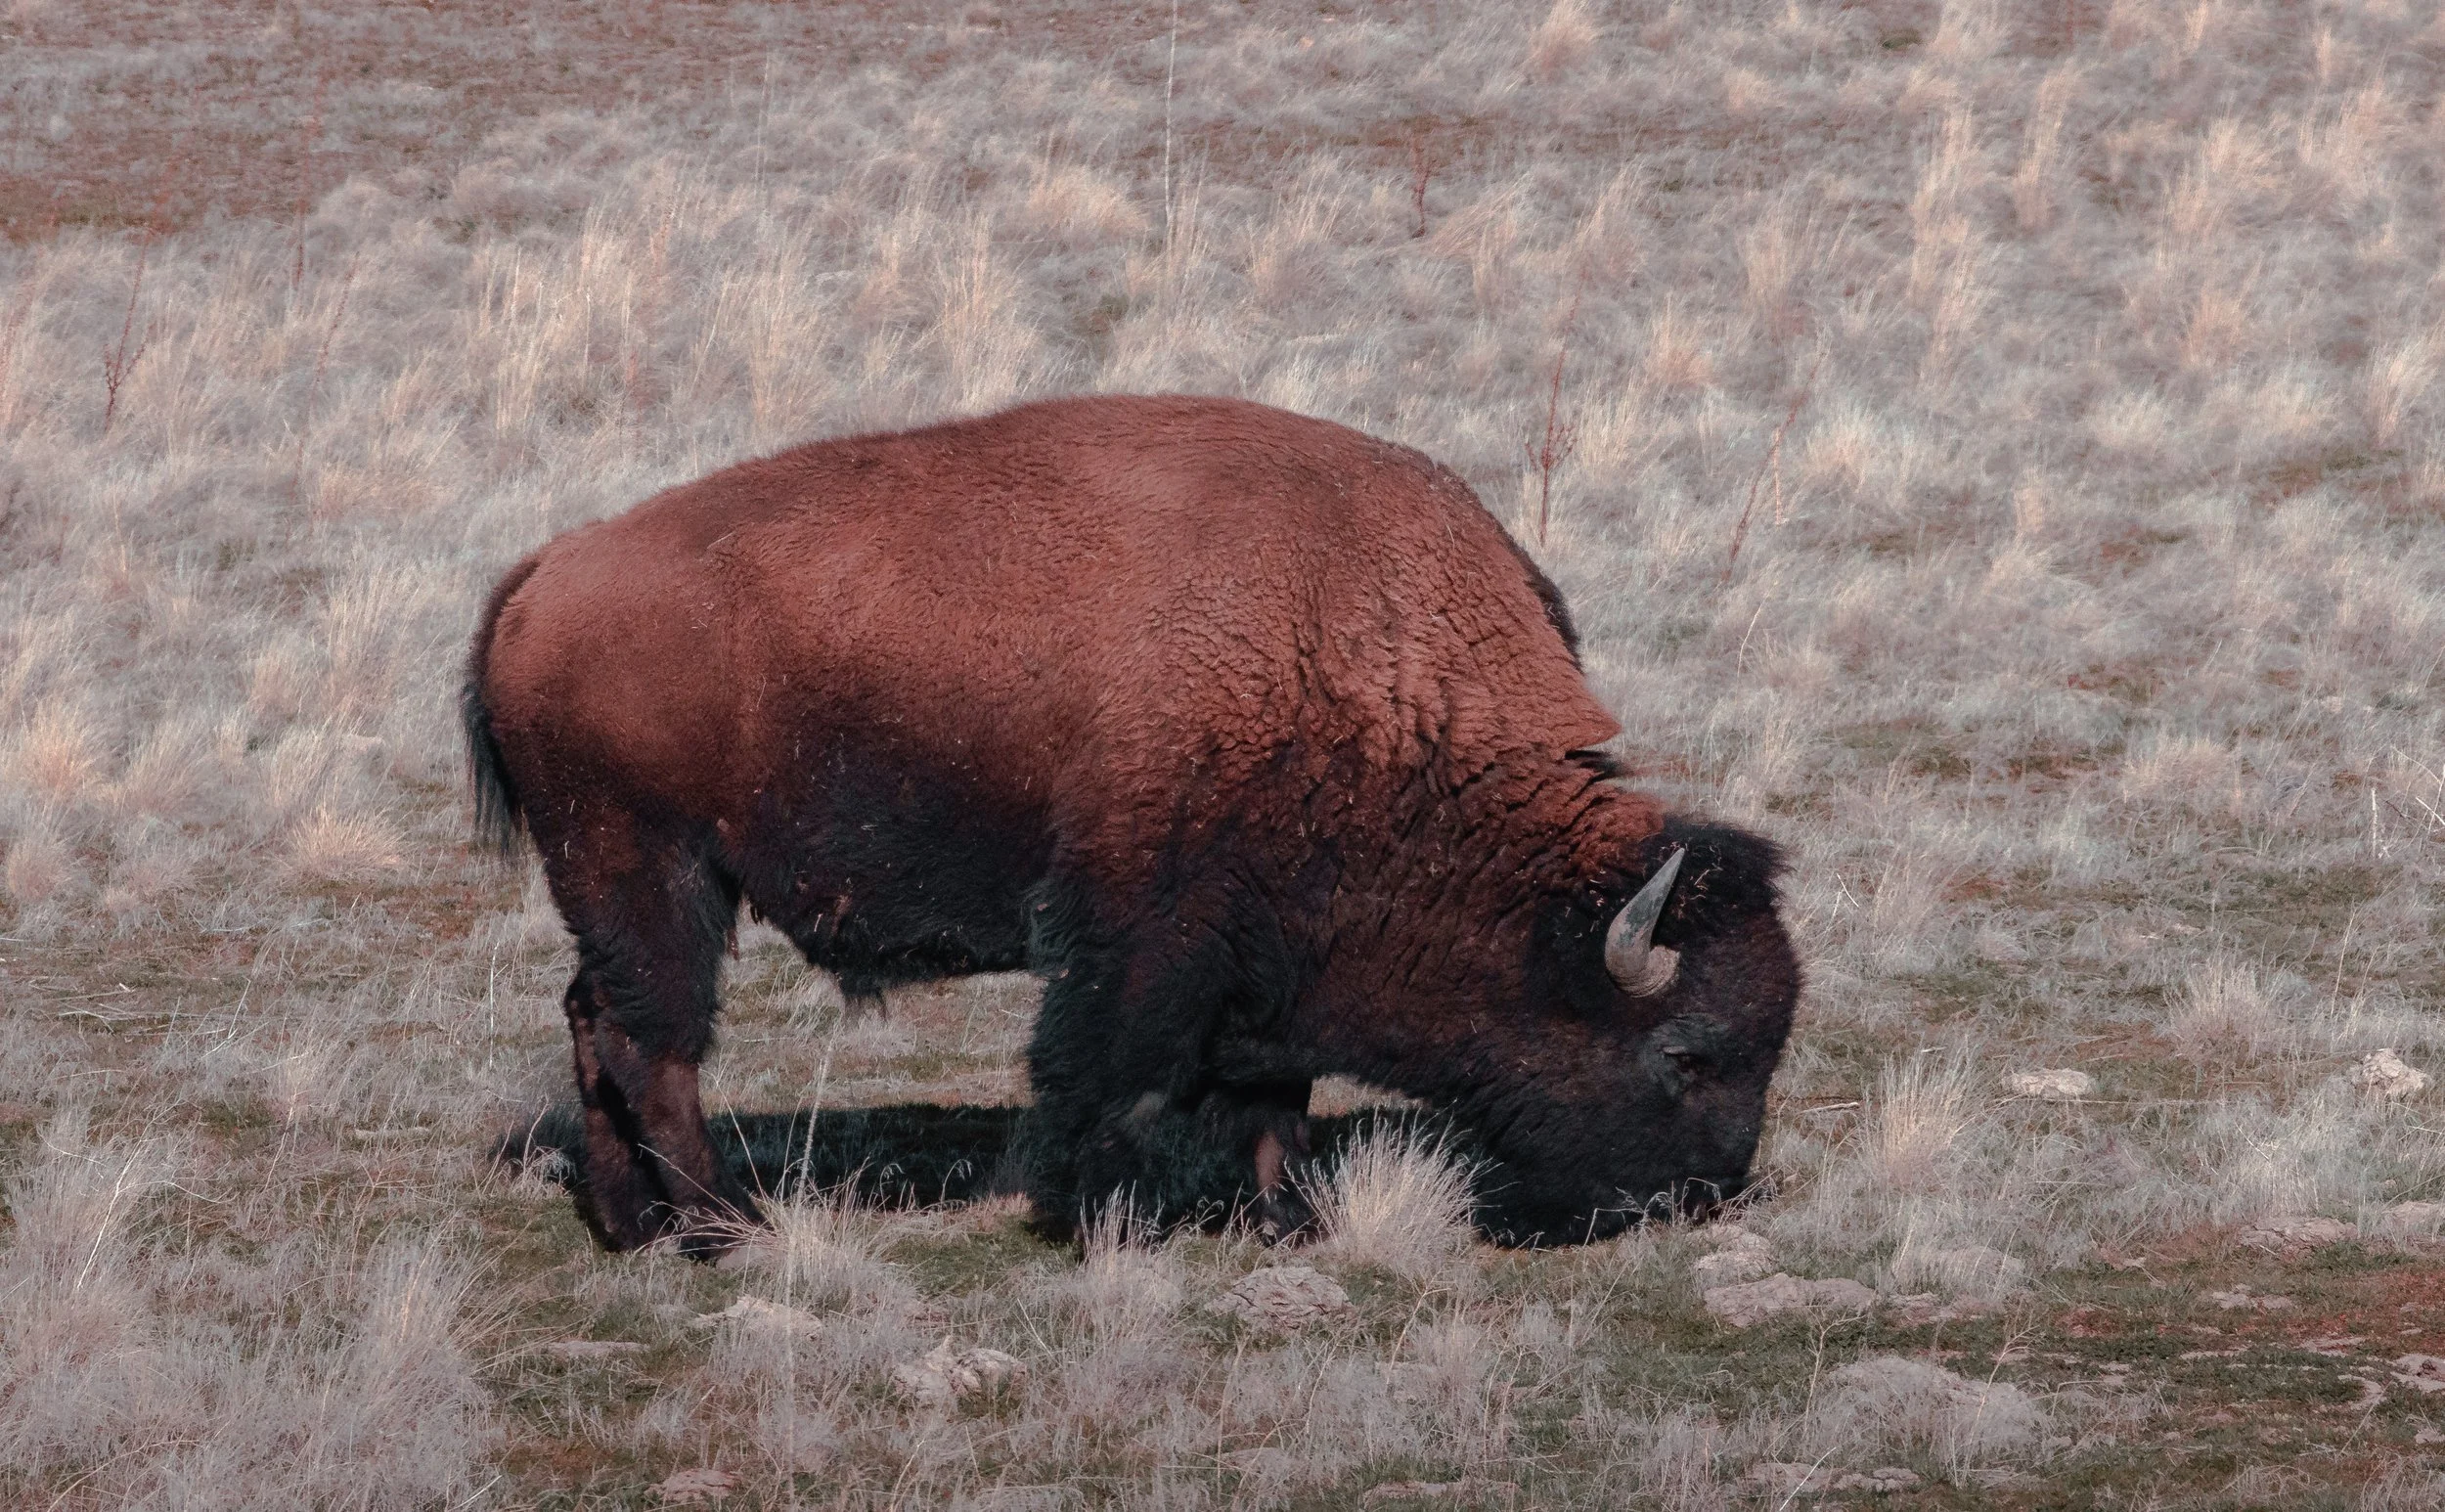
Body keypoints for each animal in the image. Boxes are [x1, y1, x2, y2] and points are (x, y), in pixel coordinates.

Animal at [463, 394, 1799, 1254]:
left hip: (618, 890)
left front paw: (1282, 1219)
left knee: (598, 1023)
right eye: (1684, 1053)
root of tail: (541, 576)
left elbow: (1269, 1096)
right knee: (656, 1044)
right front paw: (1098, 1218)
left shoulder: (1275, 954)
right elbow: (1111, 1077)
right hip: (656, 871)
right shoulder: (1141, 938)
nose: (1704, 1192)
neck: (1368, 668)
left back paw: (632, 1227)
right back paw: (719, 1228)